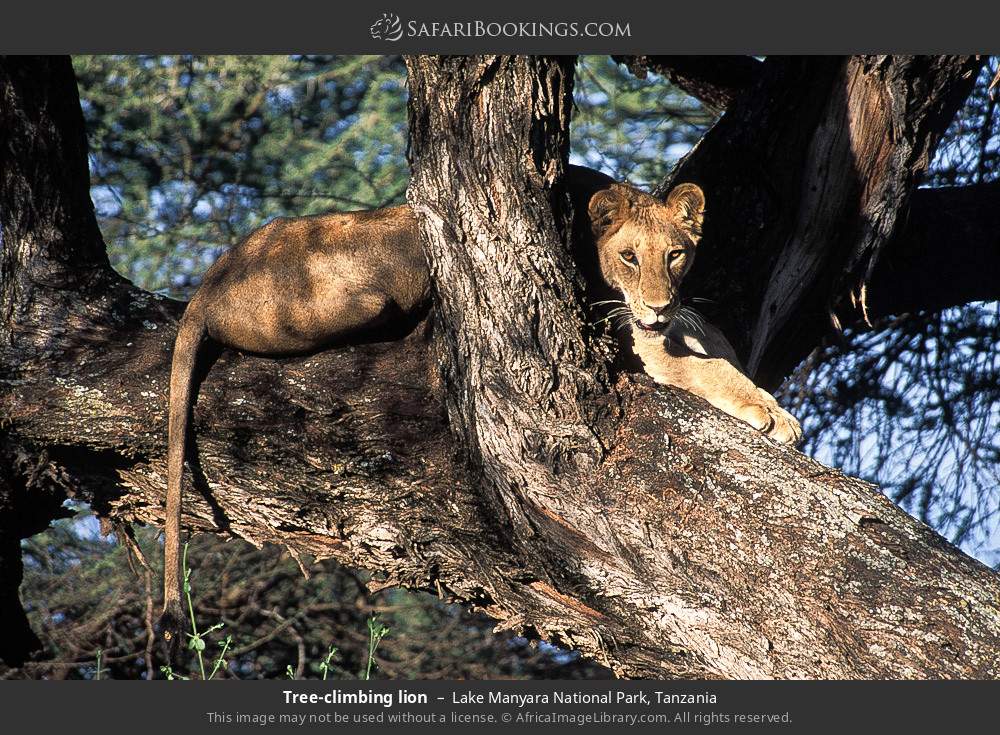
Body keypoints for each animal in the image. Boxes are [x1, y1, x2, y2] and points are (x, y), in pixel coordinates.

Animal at [159, 165, 800, 645]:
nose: (661, 306)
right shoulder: (632, 341)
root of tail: (207, 283)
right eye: (629, 258)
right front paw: (774, 416)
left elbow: (719, 349)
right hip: (385, 271)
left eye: (675, 255)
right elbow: (708, 369)